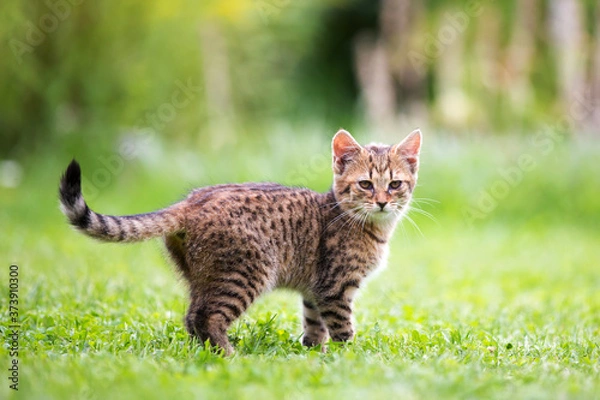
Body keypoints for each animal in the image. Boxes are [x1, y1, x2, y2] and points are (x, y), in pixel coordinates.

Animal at [58, 128, 420, 354]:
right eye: (365, 185)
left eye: (396, 184)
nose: (383, 202)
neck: (372, 227)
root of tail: (190, 201)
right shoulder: (334, 287)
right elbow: (342, 327)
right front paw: (350, 358)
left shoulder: (314, 290)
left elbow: (314, 324)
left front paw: (315, 352)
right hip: (246, 271)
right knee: (206, 317)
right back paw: (229, 354)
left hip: (203, 276)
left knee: (191, 316)